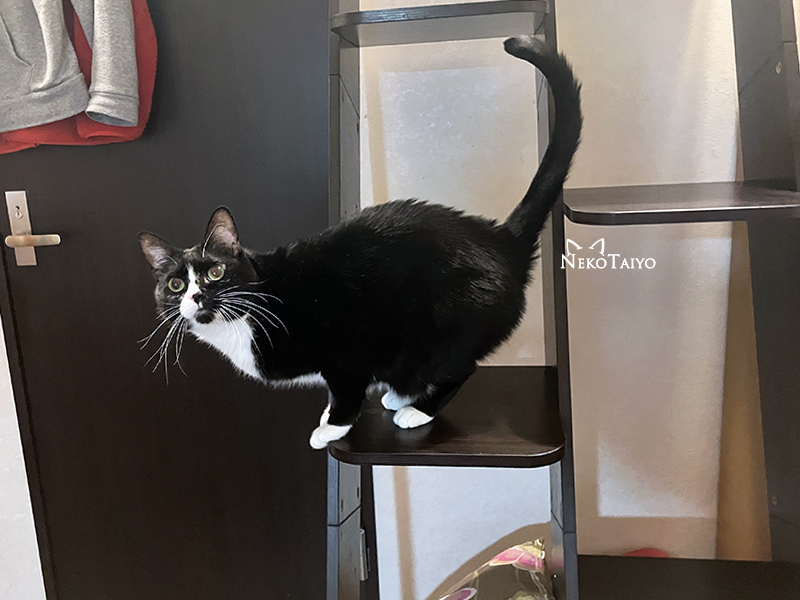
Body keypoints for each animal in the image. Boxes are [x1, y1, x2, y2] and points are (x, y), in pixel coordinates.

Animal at [138, 36, 582, 450]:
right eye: (175, 284)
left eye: (215, 271)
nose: (197, 295)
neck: (247, 314)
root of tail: (500, 238)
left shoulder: (345, 348)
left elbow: (346, 391)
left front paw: (331, 427)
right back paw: (400, 395)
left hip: (449, 323)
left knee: (459, 367)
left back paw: (415, 410)